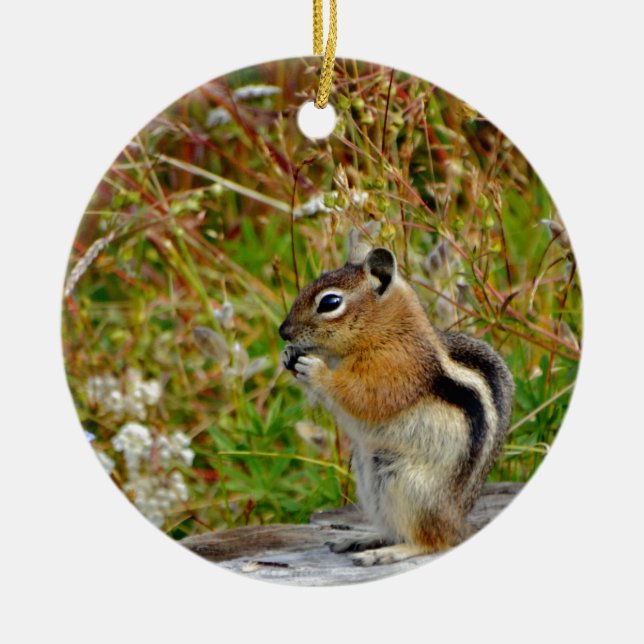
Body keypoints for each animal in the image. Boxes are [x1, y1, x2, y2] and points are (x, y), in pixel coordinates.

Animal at [279, 239, 514, 566]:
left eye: (329, 303)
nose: (283, 332)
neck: (386, 330)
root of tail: (457, 523)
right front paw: (289, 354)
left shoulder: (395, 367)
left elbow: (362, 395)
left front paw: (317, 371)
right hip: (370, 481)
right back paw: (364, 540)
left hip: (407, 484)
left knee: (432, 541)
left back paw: (388, 552)